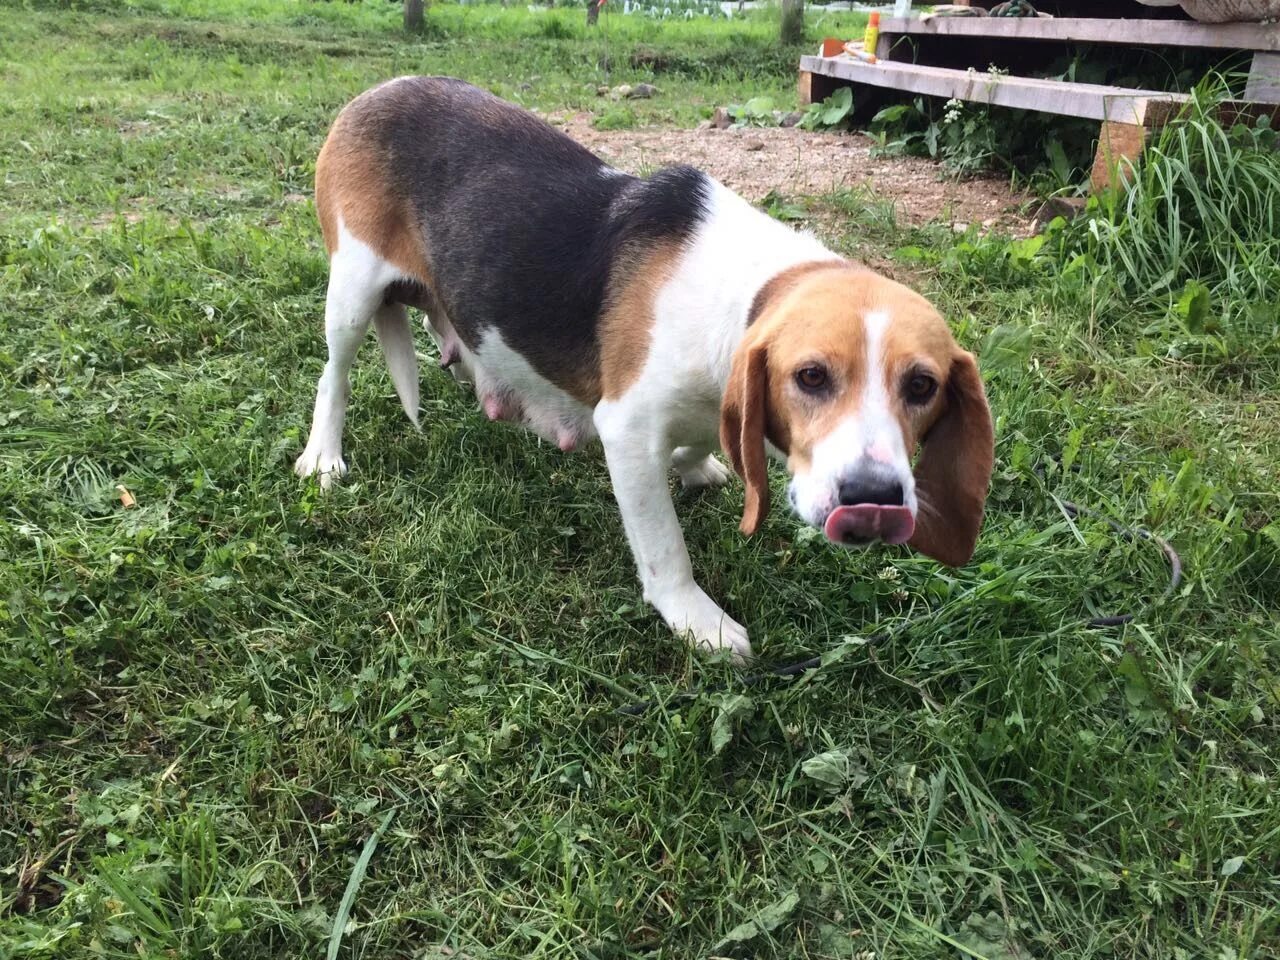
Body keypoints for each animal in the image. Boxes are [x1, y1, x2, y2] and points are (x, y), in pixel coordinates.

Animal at [294, 77, 993, 660]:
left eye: (922, 387)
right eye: (812, 377)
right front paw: (698, 620)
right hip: (352, 291)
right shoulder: (626, 432)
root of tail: (374, 93)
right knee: (334, 376)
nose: (873, 501)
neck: (740, 297)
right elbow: (664, 547)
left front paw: (698, 463)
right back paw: (323, 457)